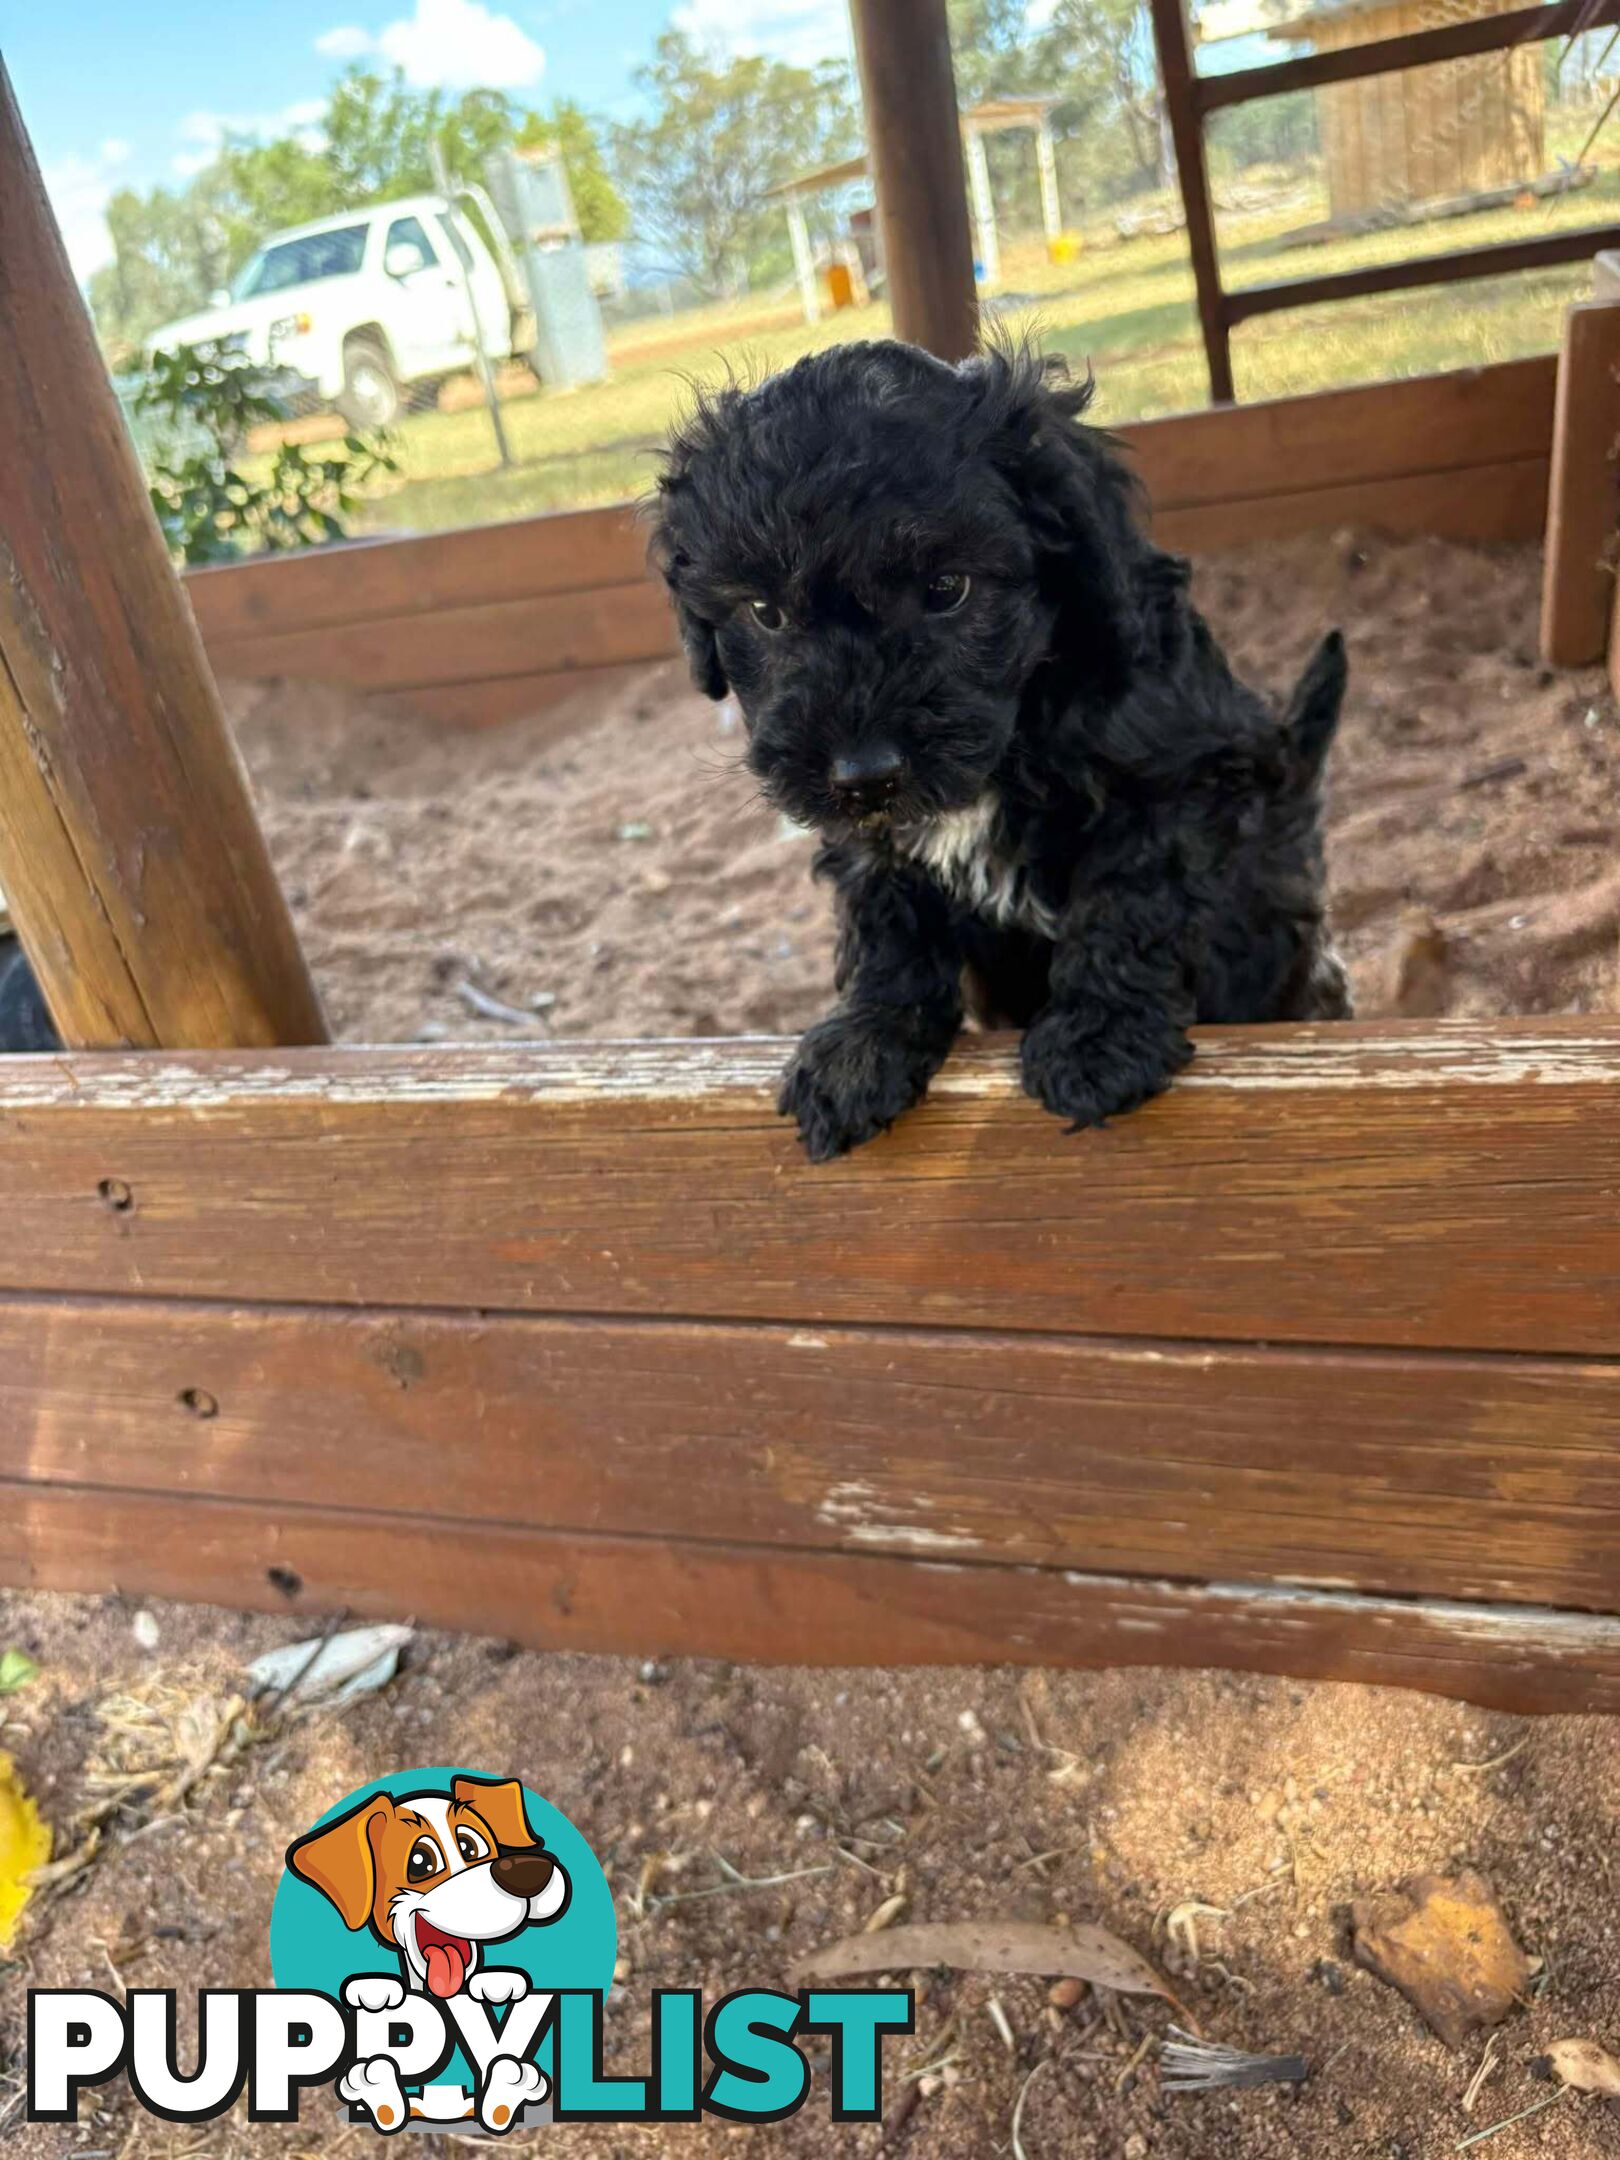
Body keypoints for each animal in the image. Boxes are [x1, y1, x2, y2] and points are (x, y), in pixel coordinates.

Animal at [652, 339, 1347, 1157]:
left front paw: (1098, 1038)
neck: (1014, 732)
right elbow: (886, 922)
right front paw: (862, 1047)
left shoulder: (1186, 772)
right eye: (765, 613)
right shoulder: (867, 834)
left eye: (948, 588)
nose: (864, 773)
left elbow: (1130, 895)